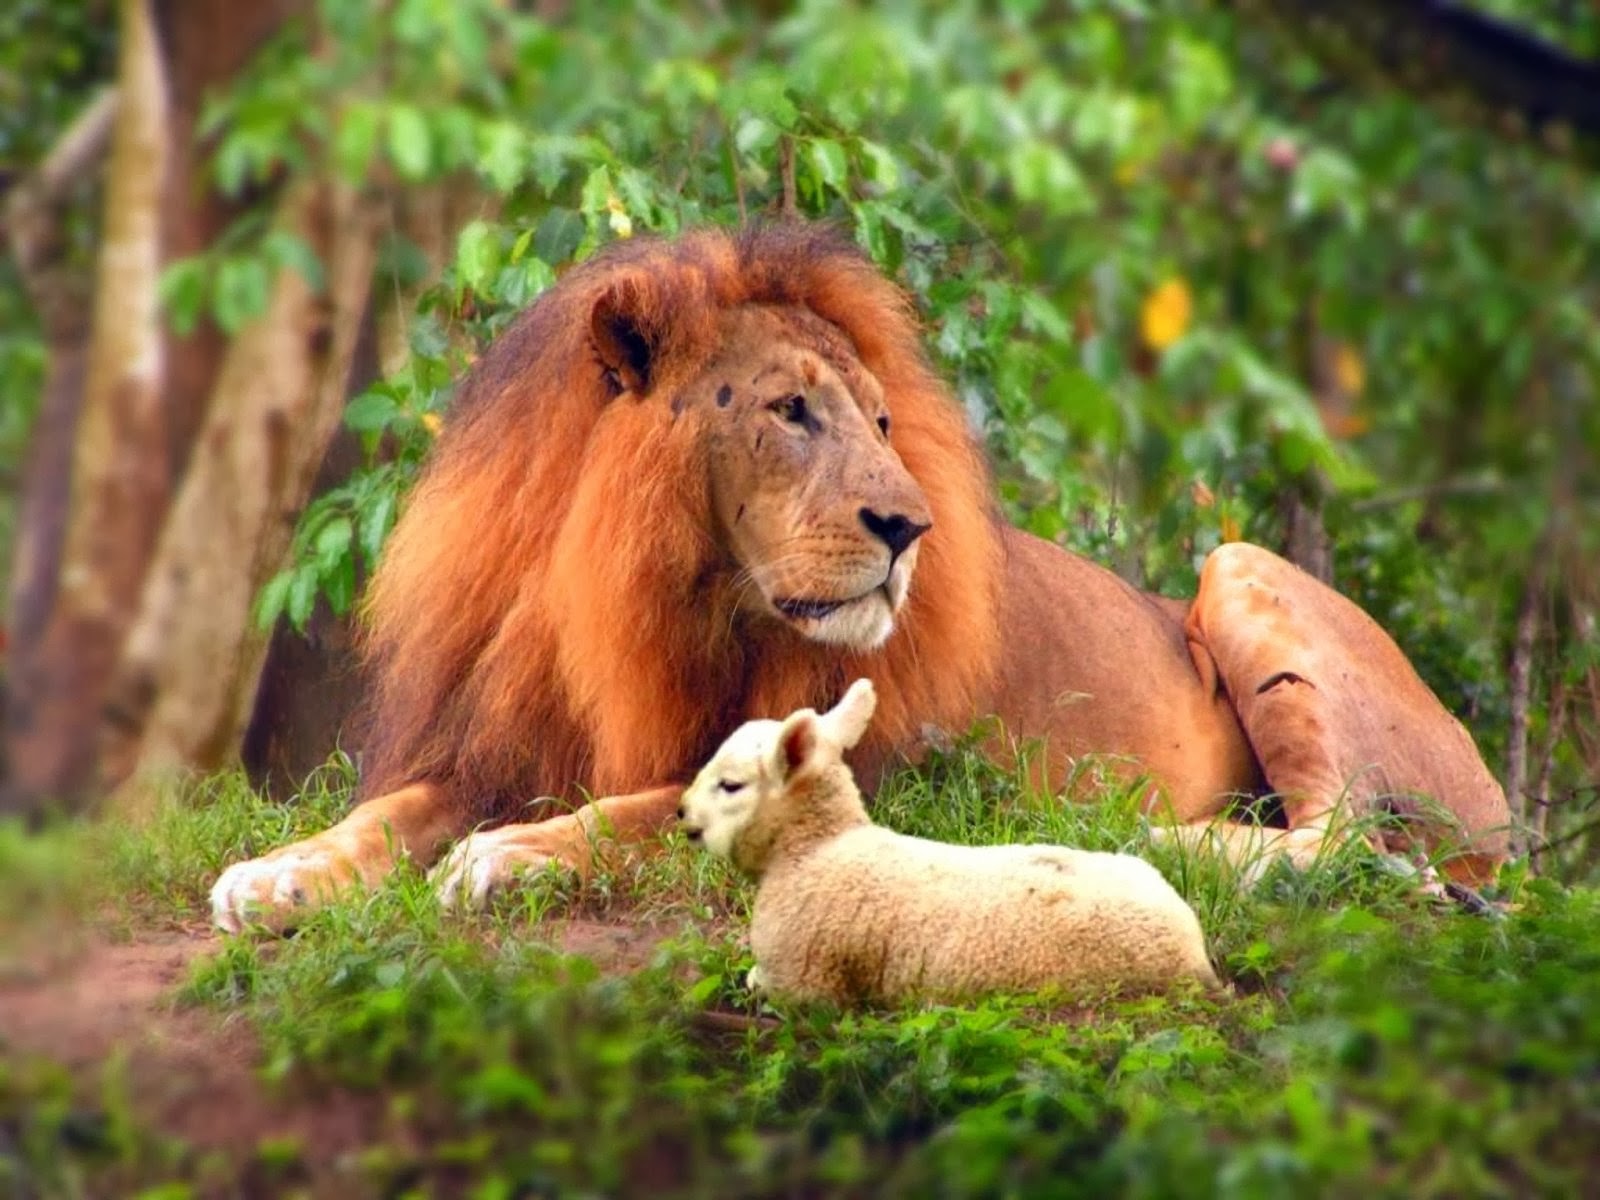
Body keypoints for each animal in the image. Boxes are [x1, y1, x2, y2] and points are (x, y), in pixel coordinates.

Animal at [211, 223, 1510, 931]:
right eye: (790, 412)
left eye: (883, 421)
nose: (909, 526)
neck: (663, 602)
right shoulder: (489, 745)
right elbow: (378, 818)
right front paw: (273, 877)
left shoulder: (866, 770)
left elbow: (658, 804)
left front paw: (512, 855)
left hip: (1240, 568)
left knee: (1352, 840)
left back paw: (1145, 835)